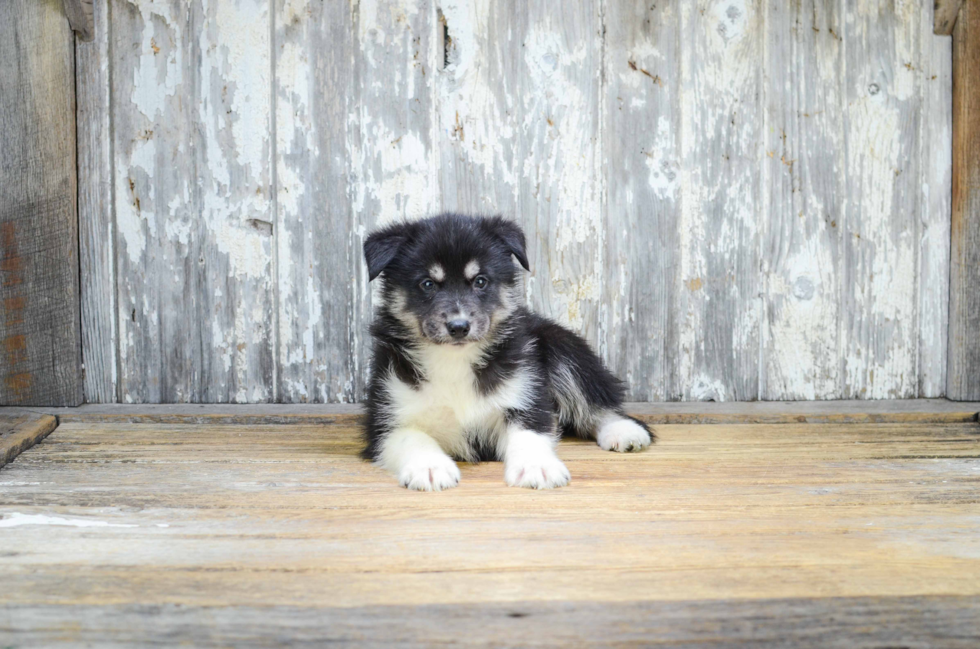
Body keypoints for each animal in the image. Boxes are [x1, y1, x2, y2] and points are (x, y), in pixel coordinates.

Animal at [360, 214, 652, 492]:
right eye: (428, 284)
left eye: (480, 281)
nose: (459, 327)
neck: (454, 360)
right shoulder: (386, 417)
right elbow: (413, 438)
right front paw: (430, 468)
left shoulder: (525, 396)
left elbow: (530, 434)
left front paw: (537, 467)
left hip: (562, 347)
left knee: (596, 404)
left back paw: (623, 431)